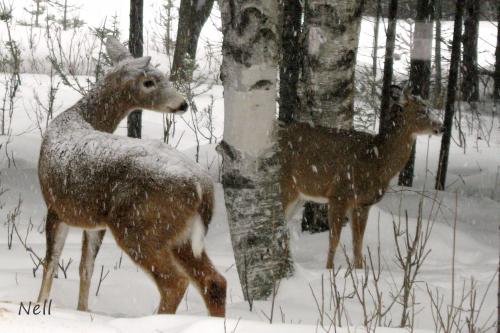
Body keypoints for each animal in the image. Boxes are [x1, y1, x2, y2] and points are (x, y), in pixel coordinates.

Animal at [36, 37, 228, 316]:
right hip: (180, 234)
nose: (182, 103)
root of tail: (203, 187)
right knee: (214, 282)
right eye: (149, 81)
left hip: (139, 226)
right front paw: (82, 311)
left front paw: (41, 305)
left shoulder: (56, 206)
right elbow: (85, 267)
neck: (78, 118)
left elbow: (51, 263)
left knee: (174, 282)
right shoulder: (93, 220)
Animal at [280, 85, 444, 268]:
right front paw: (329, 270)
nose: (442, 127)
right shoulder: (339, 194)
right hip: (285, 186)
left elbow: (357, 243)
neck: (377, 160)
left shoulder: (363, 203)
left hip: (298, 197)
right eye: (422, 111)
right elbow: (334, 240)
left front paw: (358, 269)